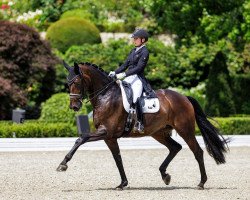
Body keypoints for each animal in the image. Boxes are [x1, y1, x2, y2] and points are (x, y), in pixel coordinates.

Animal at [56, 61, 229, 190]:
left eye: (77, 81)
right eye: (67, 82)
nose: (74, 106)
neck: (106, 96)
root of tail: (184, 97)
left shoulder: (106, 131)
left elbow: (81, 138)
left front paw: (63, 164)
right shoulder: (109, 137)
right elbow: (117, 158)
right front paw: (122, 183)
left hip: (184, 130)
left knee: (197, 151)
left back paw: (201, 183)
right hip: (158, 133)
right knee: (175, 147)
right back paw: (165, 175)